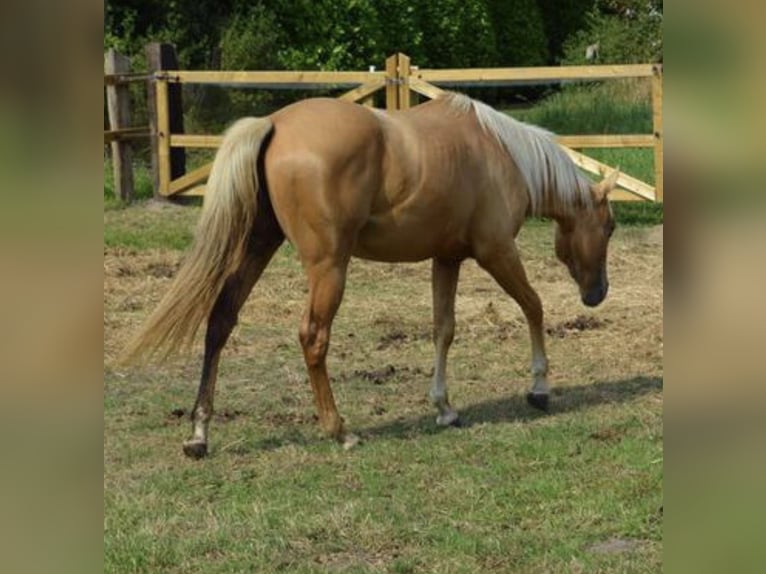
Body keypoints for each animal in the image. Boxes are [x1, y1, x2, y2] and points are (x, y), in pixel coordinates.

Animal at [124, 92, 616, 460]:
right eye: (609, 227)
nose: (598, 293)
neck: (501, 155)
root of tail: (273, 124)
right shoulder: (496, 252)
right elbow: (534, 306)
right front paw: (539, 387)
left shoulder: (447, 259)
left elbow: (443, 329)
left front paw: (444, 408)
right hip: (328, 267)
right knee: (313, 337)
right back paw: (339, 430)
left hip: (259, 245)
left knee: (221, 319)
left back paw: (199, 433)